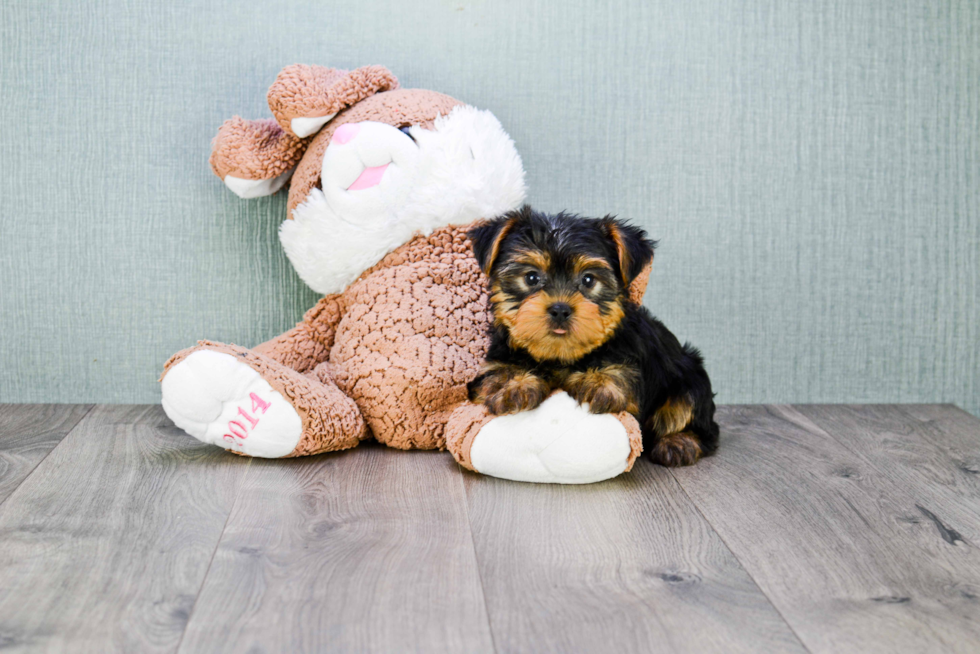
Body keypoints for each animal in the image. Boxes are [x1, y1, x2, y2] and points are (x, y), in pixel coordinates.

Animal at [468, 205, 720, 466]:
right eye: (531, 278)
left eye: (588, 280)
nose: (560, 309)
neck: (560, 355)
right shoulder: (495, 360)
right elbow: (497, 372)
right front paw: (512, 384)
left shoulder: (631, 362)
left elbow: (622, 373)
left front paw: (599, 382)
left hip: (689, 378)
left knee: (695, 418)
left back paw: (679, 442)